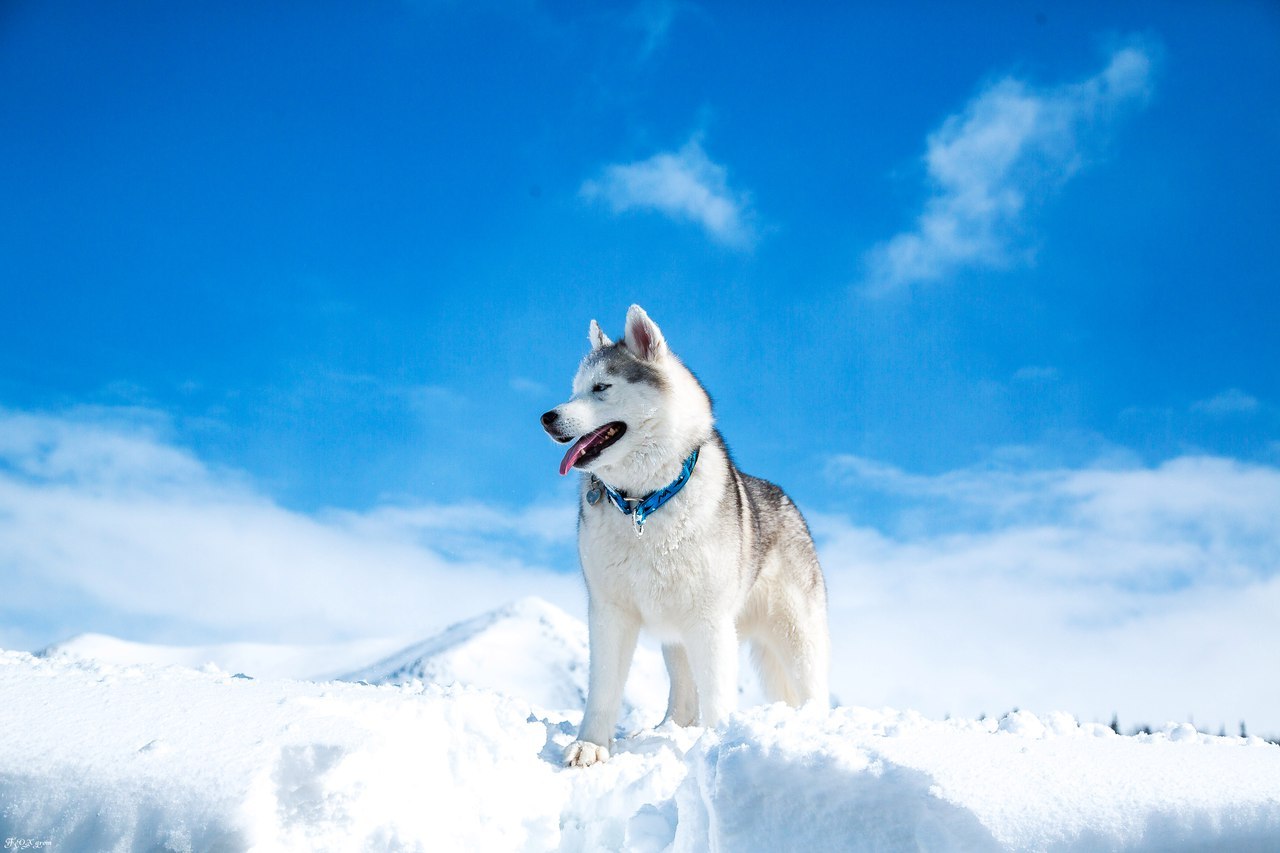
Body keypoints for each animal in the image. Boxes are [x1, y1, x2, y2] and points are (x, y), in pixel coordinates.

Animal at [540, 303, 829, 763]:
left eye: (601, 387)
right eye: (574, 389)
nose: (547, 418)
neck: (643, 504)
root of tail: (787, 501)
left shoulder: (710, 622)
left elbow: (718, 698)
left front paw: (715, 747)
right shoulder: (609, 613)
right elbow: (602, 691)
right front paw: (591, 747)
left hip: (795, 637)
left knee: (812, 693)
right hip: (676, 637)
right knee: (684, 698)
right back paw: (668, 731)